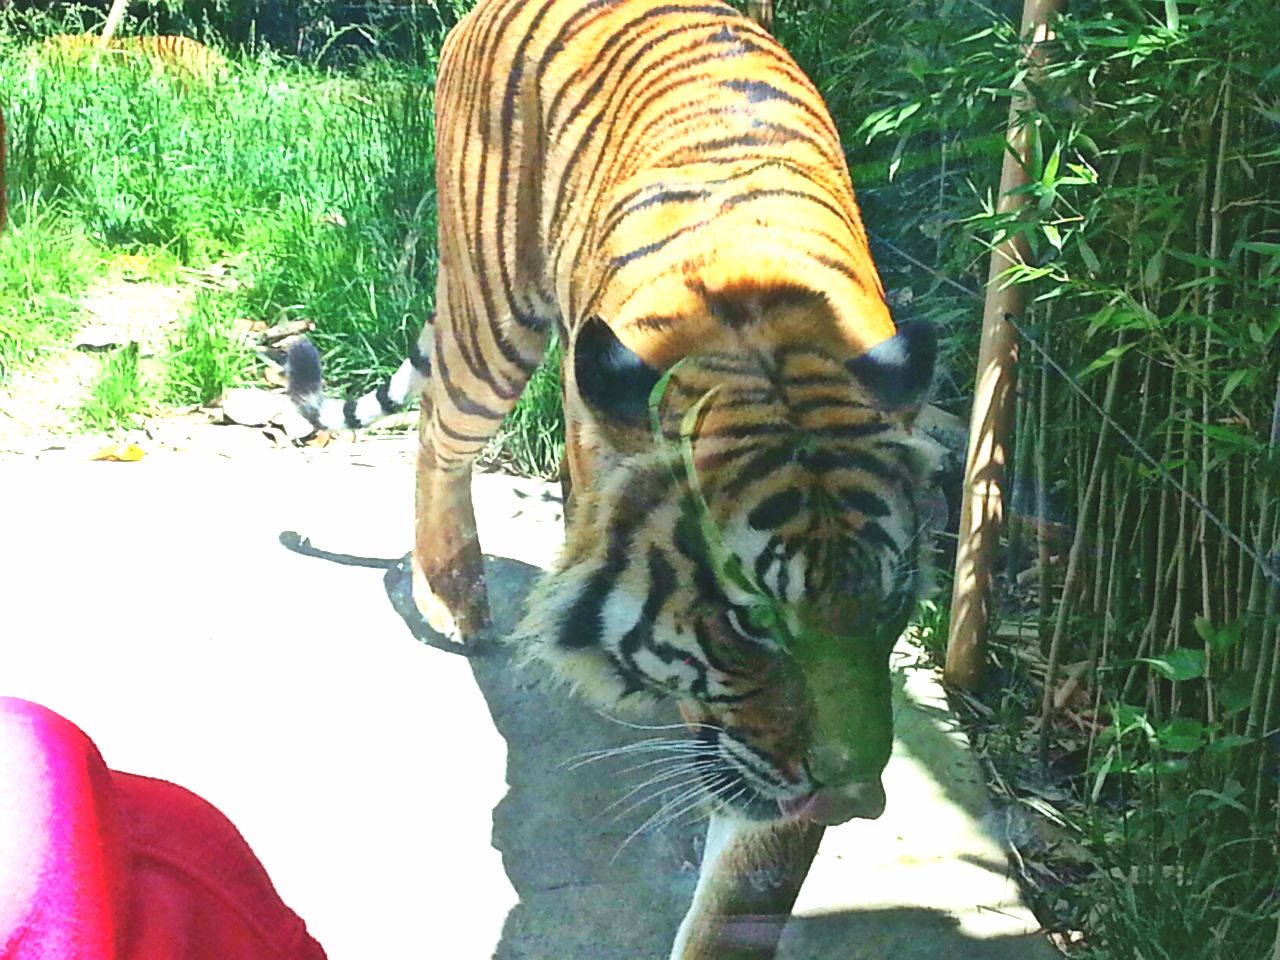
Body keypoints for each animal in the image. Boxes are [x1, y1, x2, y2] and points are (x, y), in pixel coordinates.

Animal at [285, 0, 939, 955]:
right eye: (751, 621)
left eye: (889, 606)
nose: (858, 802)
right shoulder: (762, 746)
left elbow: (743, 891)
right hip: (492, 318)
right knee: (439, 434)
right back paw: (454, 596)